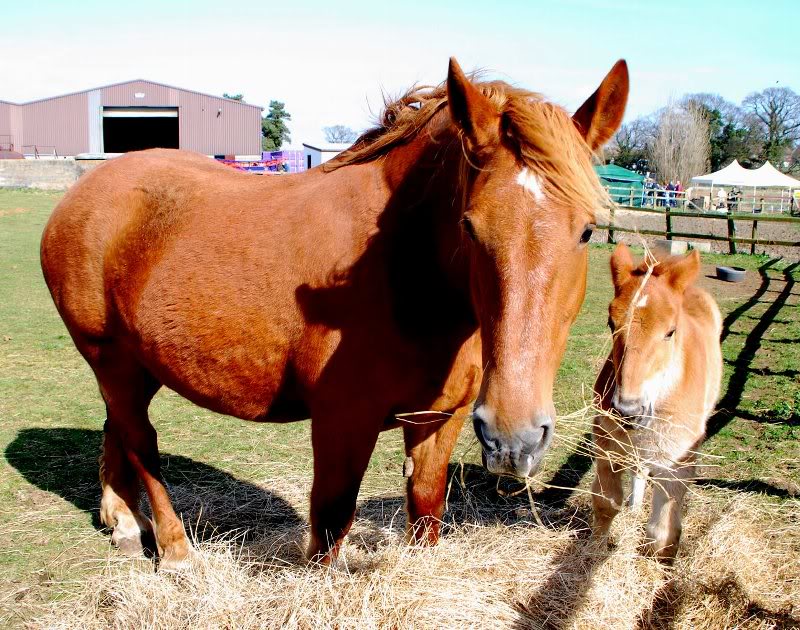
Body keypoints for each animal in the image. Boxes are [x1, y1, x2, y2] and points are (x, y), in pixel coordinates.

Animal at [40, 57, 628, 567]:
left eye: (587, 230)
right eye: (469, 225)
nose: (515, 437)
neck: (403, 270)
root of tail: (84, 190)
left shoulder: (441, 419)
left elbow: (426, 512)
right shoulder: (342, 422)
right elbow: (329, 526)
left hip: (140, 363)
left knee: (118, 426)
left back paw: (123, 522)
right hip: (110, 357)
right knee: (142, 442)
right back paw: (175, 550)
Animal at [591, 244, 722, 562]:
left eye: (670, 331)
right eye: (611, 323)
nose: (628, 410)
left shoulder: (678, 460)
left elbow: (662, 533)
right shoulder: (606, 443)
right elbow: (606, 503)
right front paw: (591, 552)